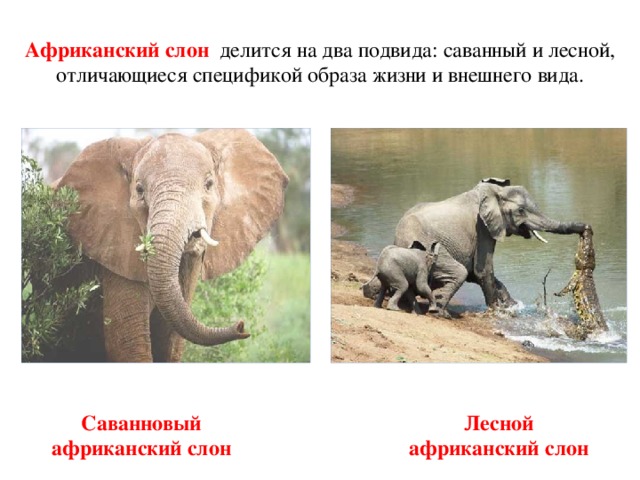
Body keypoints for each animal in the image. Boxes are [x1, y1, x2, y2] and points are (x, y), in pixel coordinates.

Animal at [392, 178, 586, 315]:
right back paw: (440, 313)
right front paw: (497, 311)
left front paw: (512, 306)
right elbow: (482, 270)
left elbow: (477, 273)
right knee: (458, 272)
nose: (585, 227)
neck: (495, 192)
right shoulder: (482, 229)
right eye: (521, 211)